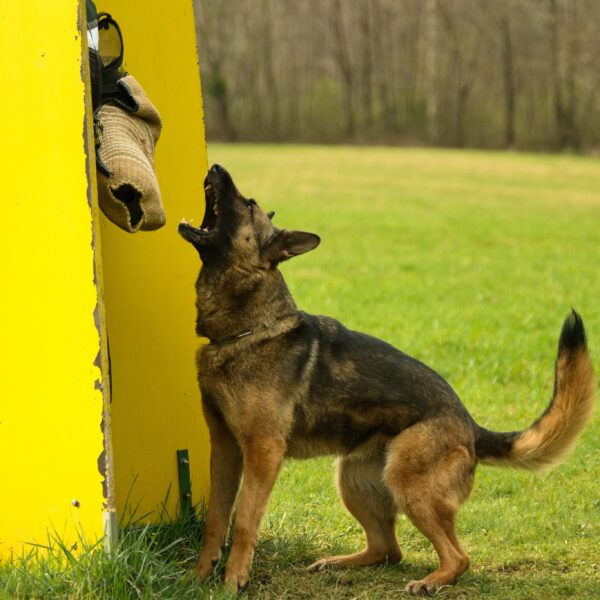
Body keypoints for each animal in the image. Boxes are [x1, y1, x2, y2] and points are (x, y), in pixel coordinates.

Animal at [178, 164, 595, 595]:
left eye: (248, 204)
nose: (216, 167)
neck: (247, 331)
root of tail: (469, 424)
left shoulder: (263, 452)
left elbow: (244, 519)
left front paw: (234, 581)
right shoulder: (225, 449)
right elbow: (217, 519)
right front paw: (200, 576)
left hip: (407, 482)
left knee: (457, 556)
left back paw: (431, 581)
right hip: (353, 479)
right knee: (387, 549)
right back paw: (337, 563)